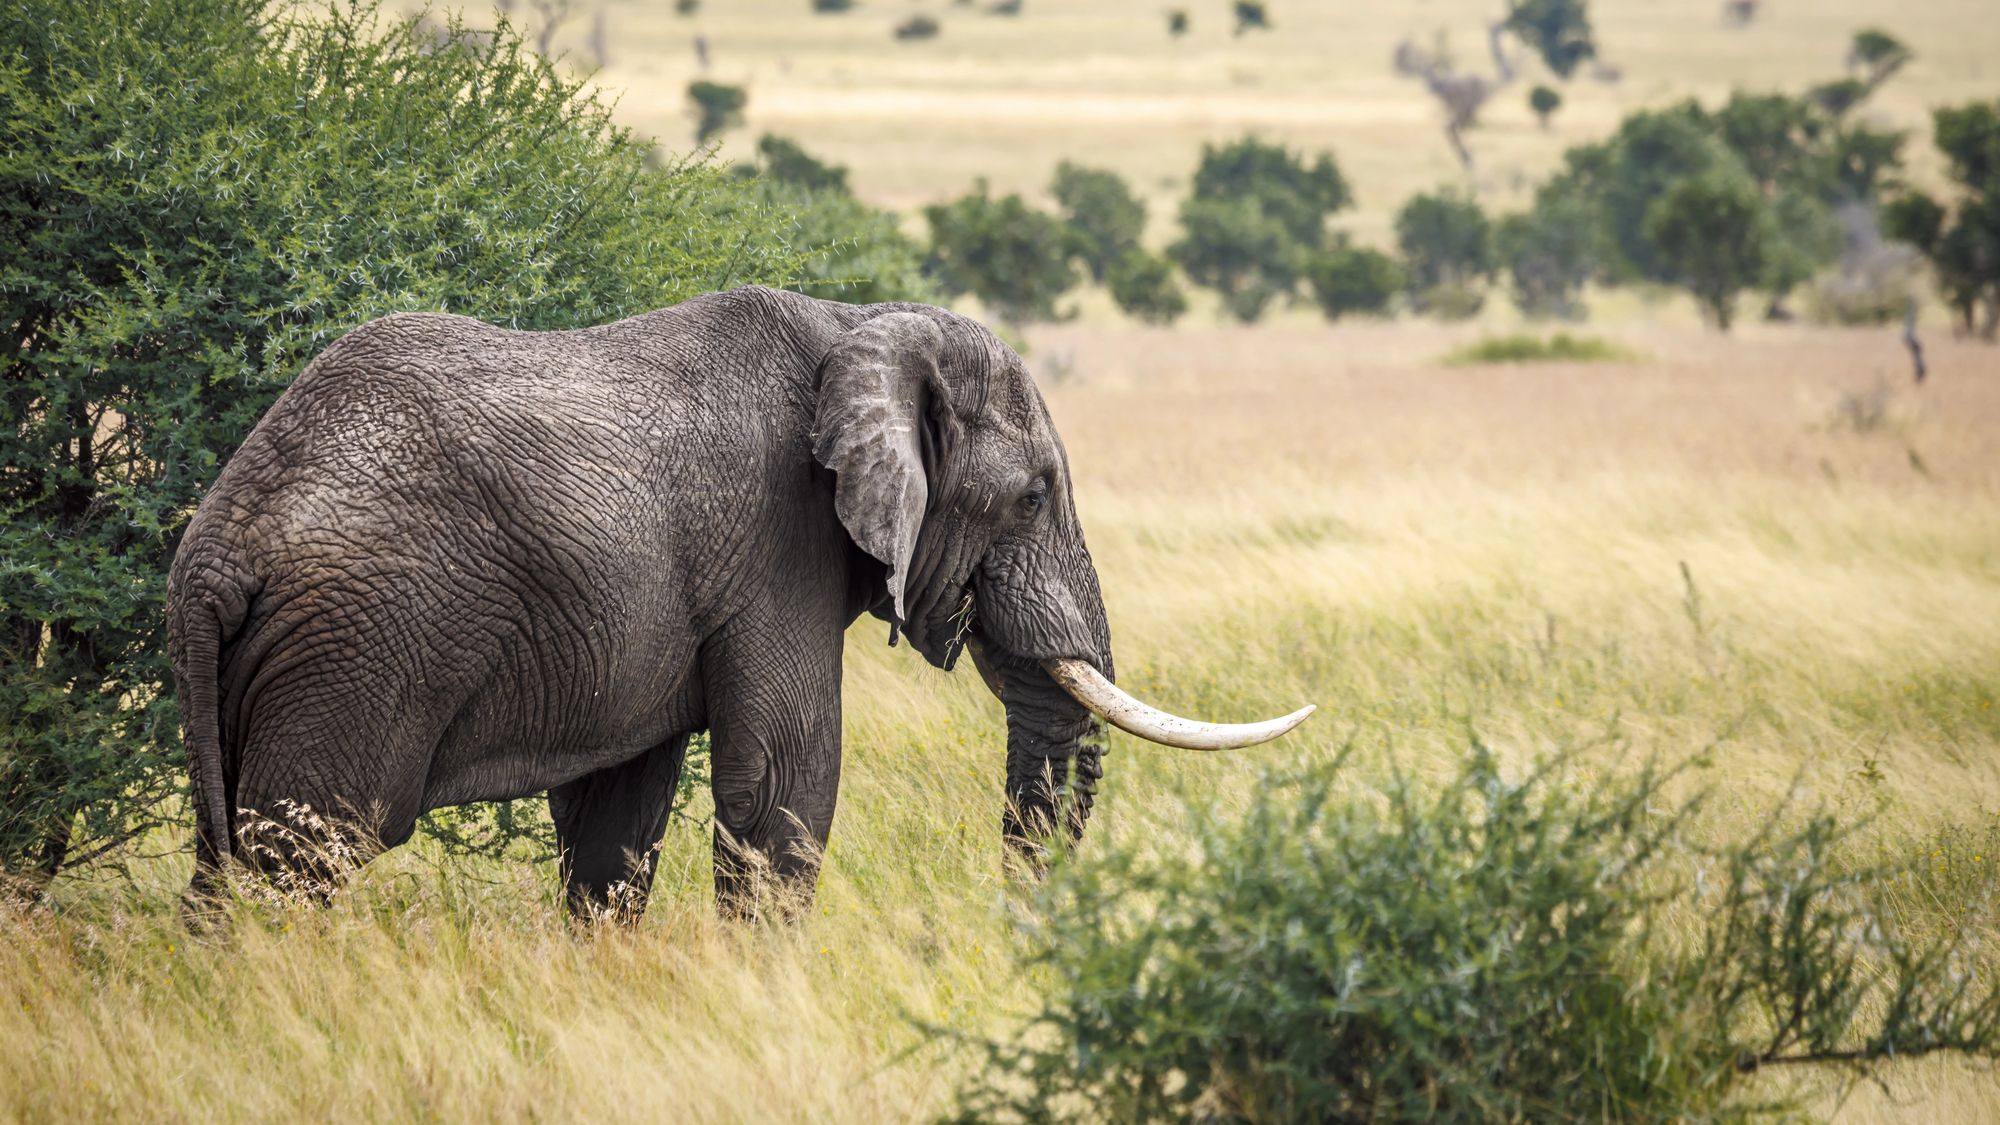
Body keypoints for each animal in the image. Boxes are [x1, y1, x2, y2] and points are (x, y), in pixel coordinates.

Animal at [167, 286, 1312, 918]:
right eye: (1032, 495)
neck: (858, 322)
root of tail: (216, 547)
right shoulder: (776, 546)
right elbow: (783, 781)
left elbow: (617, 823)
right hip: (359, 650)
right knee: (300, 858)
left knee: (223, 867)